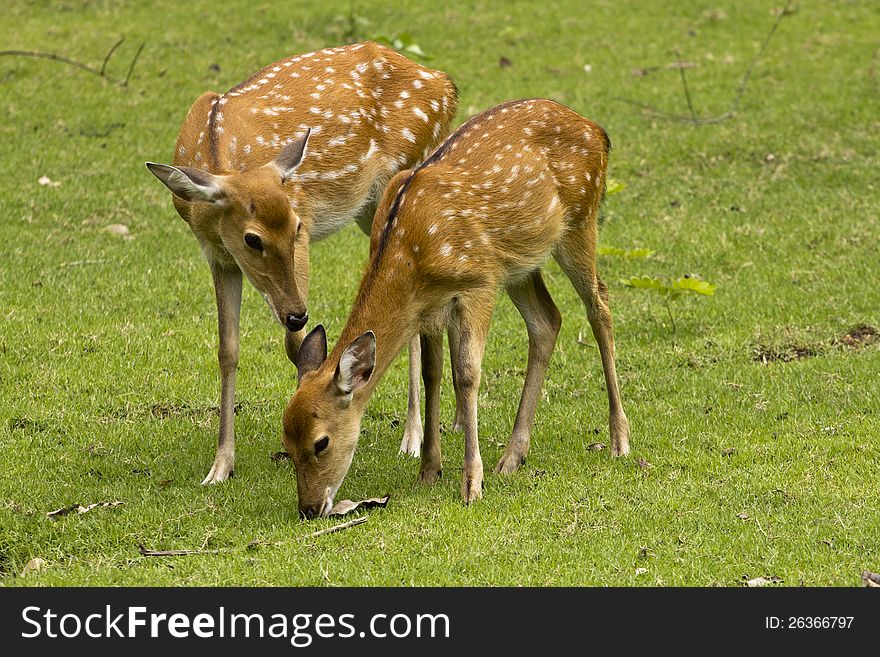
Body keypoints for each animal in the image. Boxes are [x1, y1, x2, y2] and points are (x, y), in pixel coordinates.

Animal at [143, 41, 460, 482]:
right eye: (252, 239)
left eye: (294, 227)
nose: (296, 313)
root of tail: (446, 85)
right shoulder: (216, 256)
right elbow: (227, 350)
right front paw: (220, 466)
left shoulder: (305, 221)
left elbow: (296, 344)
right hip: (369, 209)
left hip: (407, 173)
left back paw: (412, 439)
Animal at [286, 98, 628, 516]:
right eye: (286, 444)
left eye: (321, 442)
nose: (308, 508)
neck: (410, 253)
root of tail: (599, 132)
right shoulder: (430, 305)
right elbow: (432, 373)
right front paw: (429, 470)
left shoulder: (477, 284)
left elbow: (466, 373)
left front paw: (471, 484)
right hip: (519, 263)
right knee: (548, 321)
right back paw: (513, 456)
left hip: (580, 221)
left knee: (600, 305)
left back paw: (619, 440)